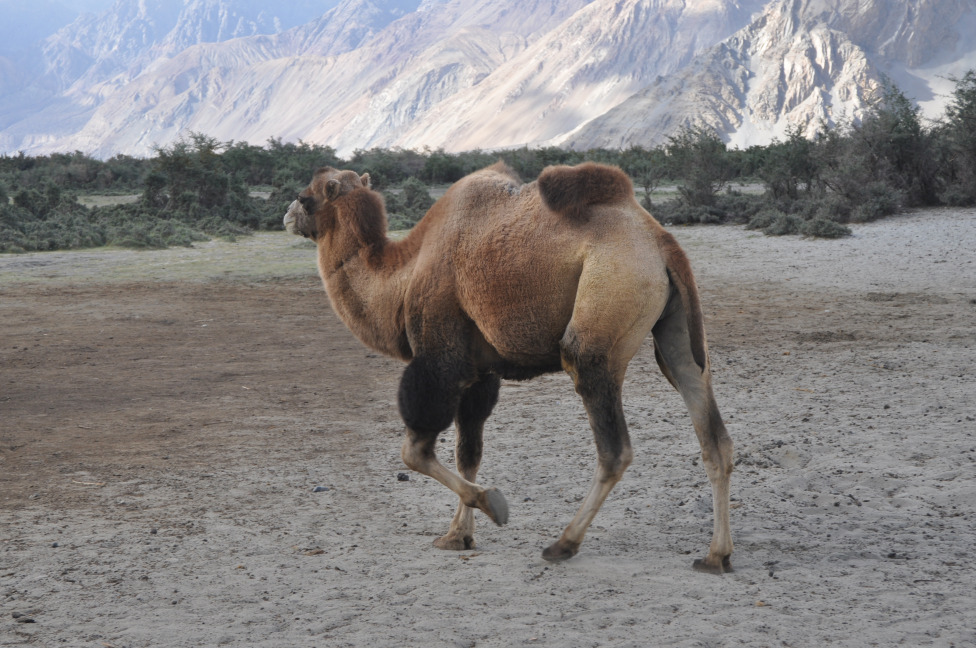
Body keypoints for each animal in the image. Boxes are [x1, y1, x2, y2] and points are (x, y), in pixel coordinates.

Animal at [282, 161, 732, 572]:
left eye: (307, 197)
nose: (286, 215)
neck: (402, 275)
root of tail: (660, 241)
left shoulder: (439, 360)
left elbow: (414, 452)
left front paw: (492, 504)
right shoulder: (480, 372)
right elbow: (469, 453)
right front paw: (457, 536)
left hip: (602, 315)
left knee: (613, 444)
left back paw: (563, 544)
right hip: (676, 332)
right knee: (708, 421)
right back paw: (716, 555)